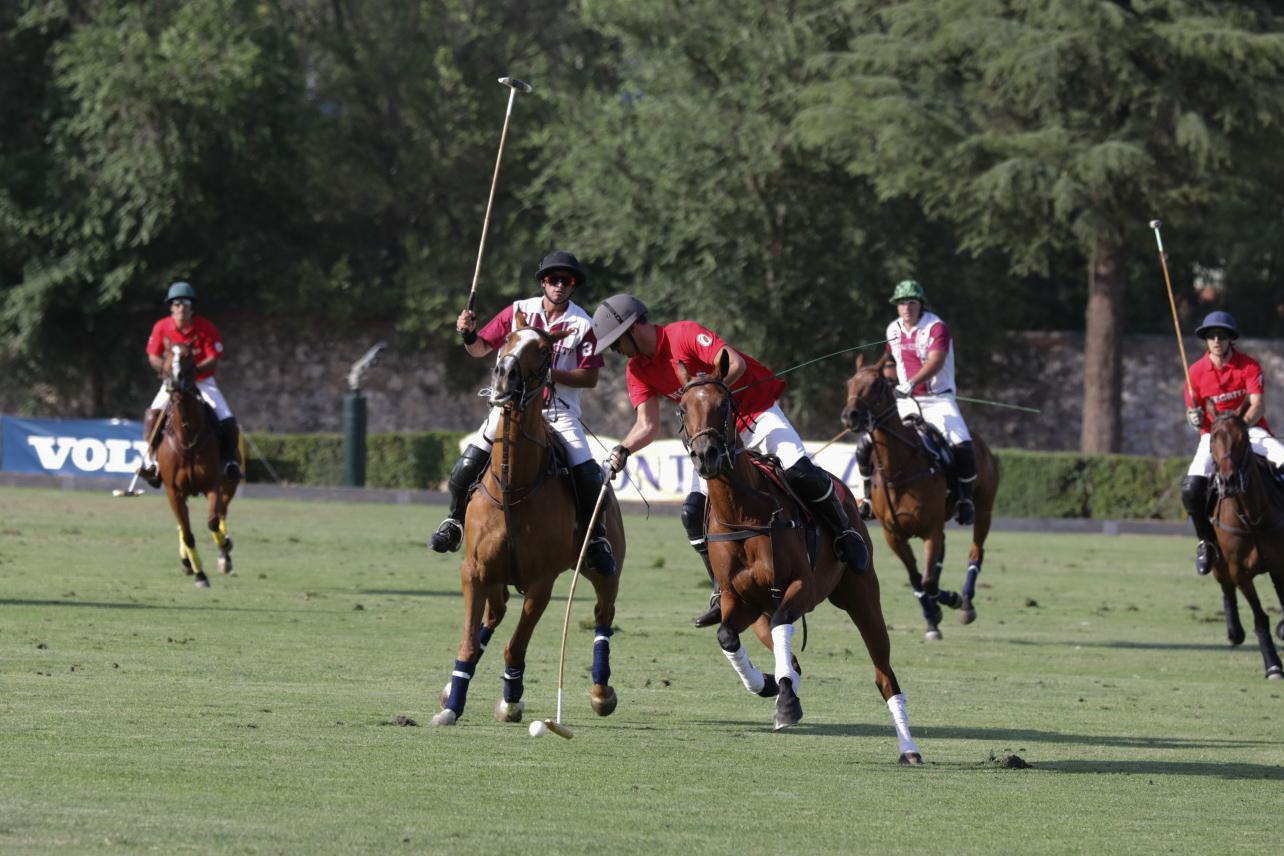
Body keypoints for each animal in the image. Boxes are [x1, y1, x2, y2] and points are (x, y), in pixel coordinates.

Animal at [433, 314, 629, 728]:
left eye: (541, 349)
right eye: (507, 338)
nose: (503, 374)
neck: (513, 484)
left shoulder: (541, 583)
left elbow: (515, 647)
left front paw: (511, 699)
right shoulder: (474, 571)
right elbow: (470, 641)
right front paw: (452, 704)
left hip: (604, 569)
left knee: (604, 613)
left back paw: (601, 692)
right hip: (496, 578)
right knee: (492, 617)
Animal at [677, 354, 919, 764]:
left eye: (724, 405)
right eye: (682, 408)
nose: (706, 456)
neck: (744, 512)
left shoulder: (801, 586)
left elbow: (783, 624)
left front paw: (786, 701)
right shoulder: (737, 599)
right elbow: (727, 635)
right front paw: (767, 684)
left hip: (862, 596)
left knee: (883, 672)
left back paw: (909, 748)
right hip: (760, 610)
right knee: (777, 645)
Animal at [842, 351, 1001, 639]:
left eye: (877, 384)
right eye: (850, 382)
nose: (850, 416)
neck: (898, 470)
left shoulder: (930, 530)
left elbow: (928, 581)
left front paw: (949, 601)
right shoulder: (893, 534)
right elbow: (917, 578)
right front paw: (932, 619)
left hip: (984, 510)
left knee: (975, 553)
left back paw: (966, 603)